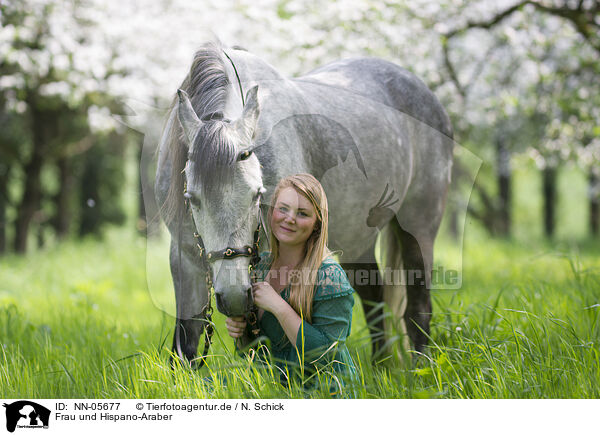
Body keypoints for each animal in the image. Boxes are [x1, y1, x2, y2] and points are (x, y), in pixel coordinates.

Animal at [155, 41, 450, 362]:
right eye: (191, 198)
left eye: (257, 193)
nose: (233, 295)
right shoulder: (183, 259)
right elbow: (186, 341)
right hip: (359, 238)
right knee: (374, 299)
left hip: (419, 229)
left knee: (417, 308)